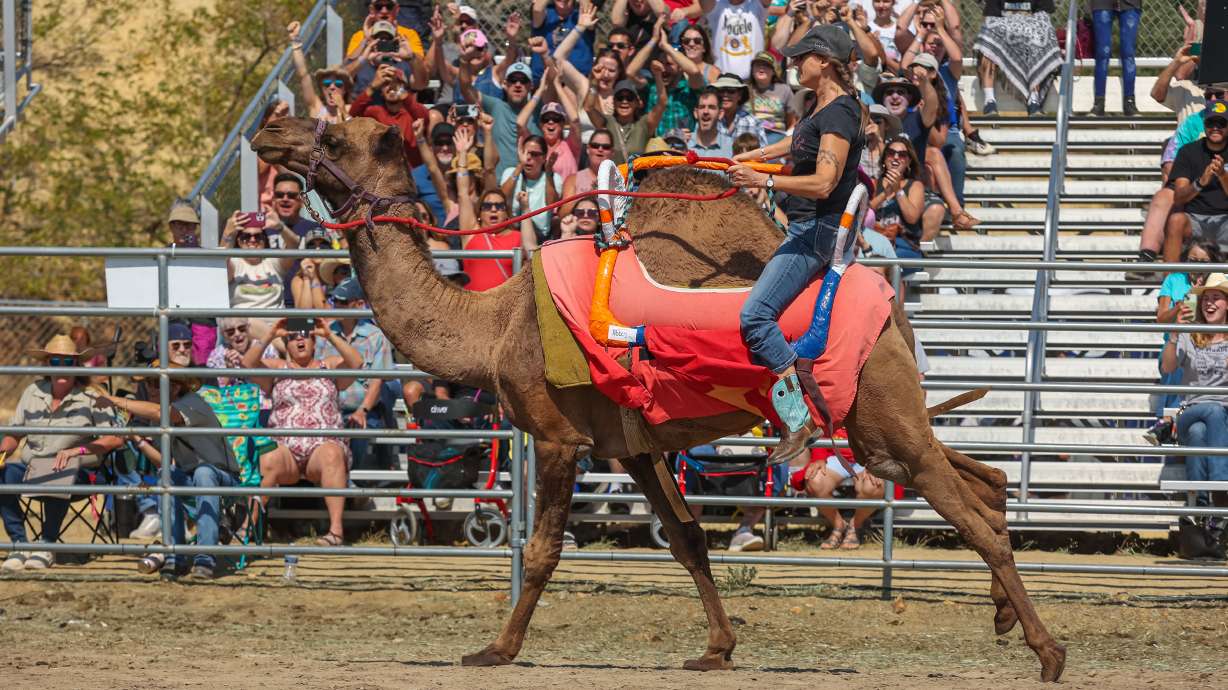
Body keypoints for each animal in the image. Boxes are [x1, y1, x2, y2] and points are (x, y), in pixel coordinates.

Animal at [251, 117, 1067, 682]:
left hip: (875, 414)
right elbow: (687, 540)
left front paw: (496, 648)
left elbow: (542, 550)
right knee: (987, 482)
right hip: (885, 421)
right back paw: (1005, 616)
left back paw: (1049, 652)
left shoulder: (559, 435)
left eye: (332, 130)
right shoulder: (633, 443)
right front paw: (718, 648)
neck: (494, 326)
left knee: (973, 515)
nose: (269, 131)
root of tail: (893, 309)